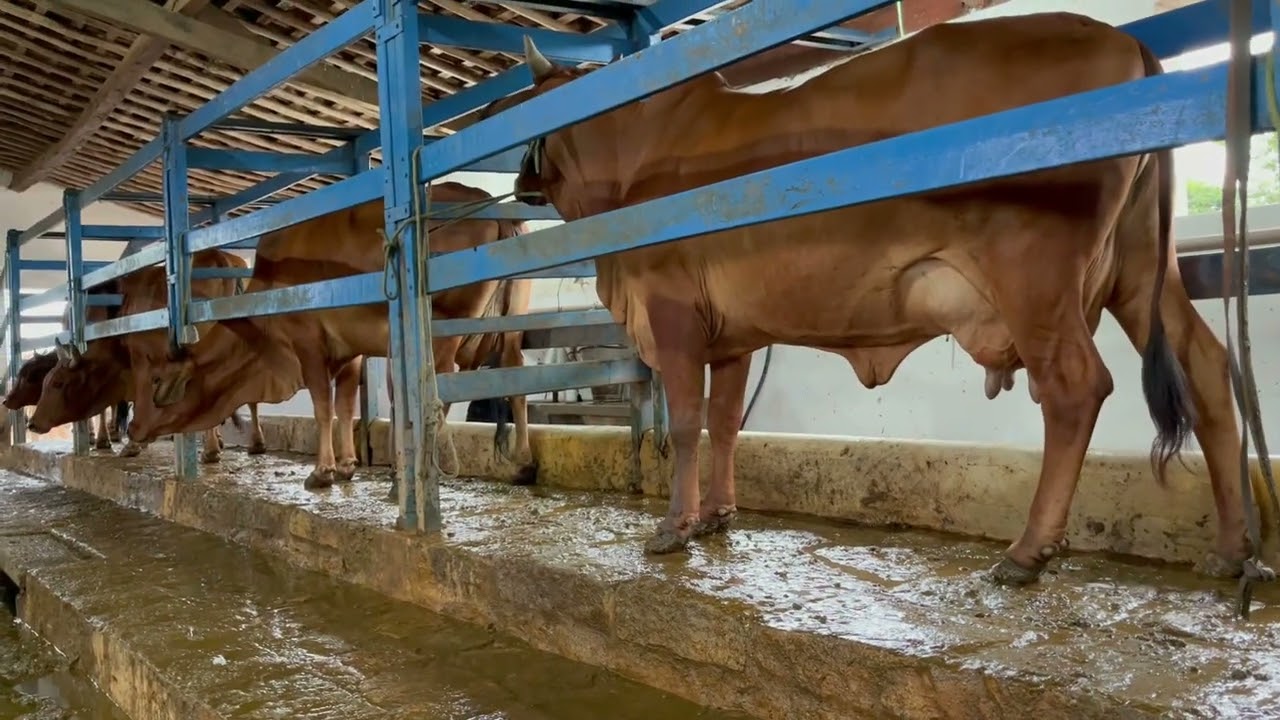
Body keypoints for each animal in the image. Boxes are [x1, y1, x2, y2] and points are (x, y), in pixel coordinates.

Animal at [27, 248, 266, 463]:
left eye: (57, 383)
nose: (32, 423)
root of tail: (222, 257)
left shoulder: (141, 359)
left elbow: (134, 398)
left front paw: (129, 442)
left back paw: (210, 450)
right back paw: (253, 443)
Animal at [121, 181, 537, 491]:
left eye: (158, 380)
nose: (134, 428)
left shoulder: (307, 344)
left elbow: (323, 405)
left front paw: (323, 472)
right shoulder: (350, 353)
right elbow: (346, 406)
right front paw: (348, 464)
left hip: (443, 333)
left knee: (441, 391)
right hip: (512, 326)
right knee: (516, 379)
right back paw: (523, 463)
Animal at [492, 19, 1272, 586]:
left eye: (513, 104)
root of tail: (1125, 42)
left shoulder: (673, 311)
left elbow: (686, 424)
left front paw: (673, 528)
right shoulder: (734, 334)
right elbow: (725, 423)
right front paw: (716, 515)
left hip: (1036, 277)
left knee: (1077, 387)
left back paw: (1027, 552)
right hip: (1142, 274)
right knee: (1206, 365)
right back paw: (1233, 547)